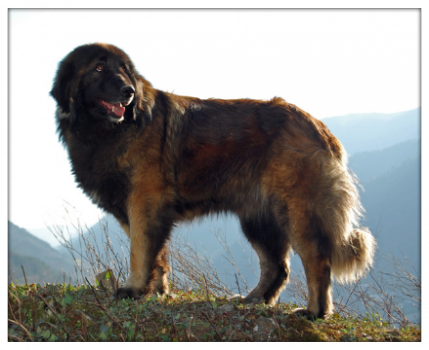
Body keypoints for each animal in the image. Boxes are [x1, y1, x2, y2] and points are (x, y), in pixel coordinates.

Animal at [51, 42, 374, 318]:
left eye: (125, 70)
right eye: (99, 68)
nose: (128, 92)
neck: (110, 131)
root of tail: (318, 127)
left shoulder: (144, 204)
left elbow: (140, 252)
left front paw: (134, 289)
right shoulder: (141, 211)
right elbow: (157, 256)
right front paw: (158, 291)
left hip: (298, 212)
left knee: (318, 260)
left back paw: (314, 312)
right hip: (259, 218)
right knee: (277, 266)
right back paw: (254, 299)